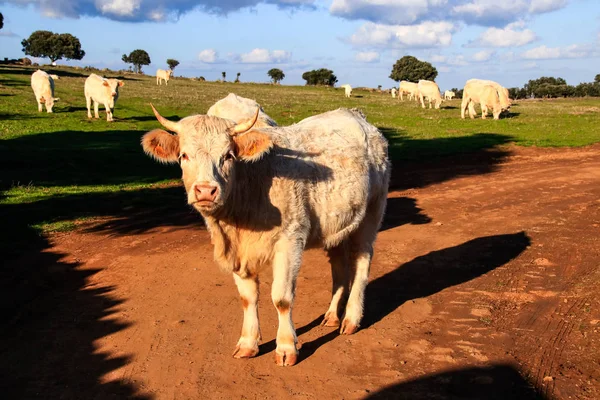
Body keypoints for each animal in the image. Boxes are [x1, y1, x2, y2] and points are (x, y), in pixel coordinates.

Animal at [141, 105, 390, 366]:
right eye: (184, 156)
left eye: (228, 156)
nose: (206, 191)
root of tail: (354, 114)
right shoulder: (238, 252)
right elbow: (248, 298)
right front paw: (248, 343)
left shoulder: (290, 241)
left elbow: (281, 298)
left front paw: (286, 347)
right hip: (337, 225)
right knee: (339, 266)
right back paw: (332, 315)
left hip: (371, 214)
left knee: (361, 263)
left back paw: (351, 318)